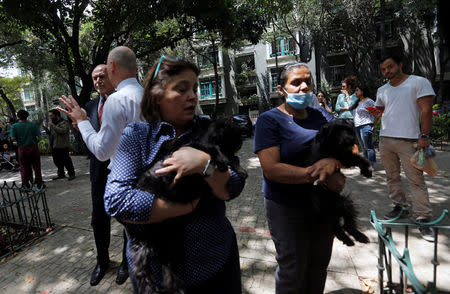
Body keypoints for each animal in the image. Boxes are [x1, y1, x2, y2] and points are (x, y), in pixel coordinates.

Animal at [304, 118, 370, 247]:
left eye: (347, 129)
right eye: (336, 132)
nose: (349, 140)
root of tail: (336, 211)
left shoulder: (343, 155)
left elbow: (355, 157)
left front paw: (366, 169)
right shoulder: (336, 156)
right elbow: (354, 157)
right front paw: (366, 169)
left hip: (346, 204)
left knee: (348, 225)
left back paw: (360, 236)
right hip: (326, 212)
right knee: (336, 229)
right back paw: (347, 240)